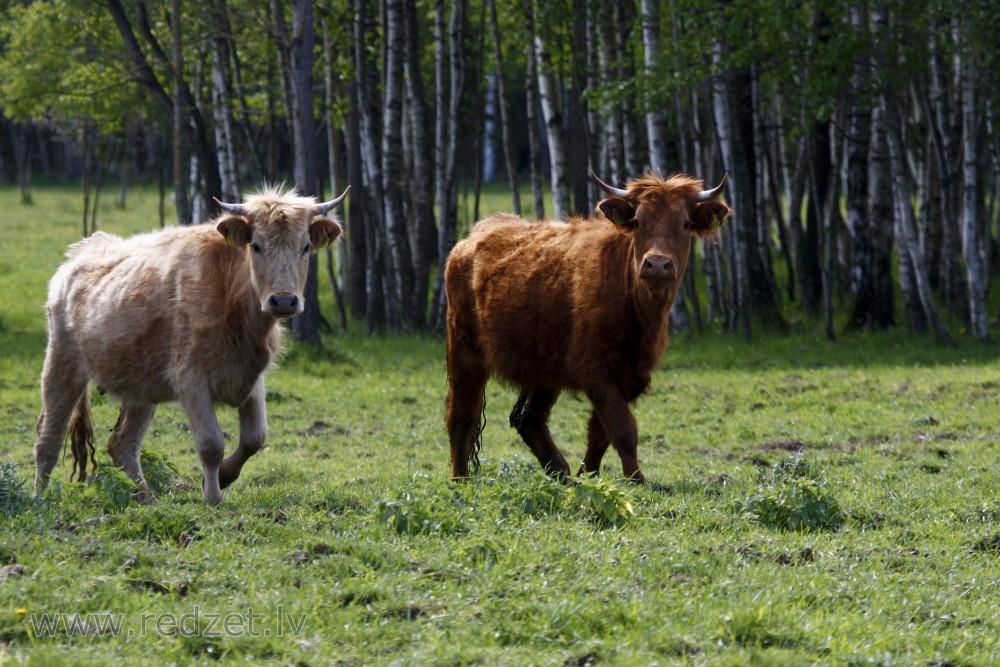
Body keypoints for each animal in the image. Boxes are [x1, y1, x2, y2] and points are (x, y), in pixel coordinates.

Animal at [35, 185, 350, 504]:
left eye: (306, 247)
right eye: (256, 245)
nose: (283, 301)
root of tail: (79, 254)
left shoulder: (253, 378)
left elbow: (255, 437)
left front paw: (224, 477)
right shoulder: (191, 379)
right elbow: (211, 443)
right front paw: (213, 497)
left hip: (141, 385)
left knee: (122, 442)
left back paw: (146, 499)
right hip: (62, 364)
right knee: (48, 438)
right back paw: (39, 499)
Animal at [444, 172, 728, 486]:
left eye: (685, 224)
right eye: (638, 221)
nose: (657, 264)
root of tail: (474, 236)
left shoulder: (629, 375)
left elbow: (600, 434)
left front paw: (589, 477)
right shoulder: (596, 372)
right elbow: (622, 429)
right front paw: (636, 481)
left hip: (545, 369)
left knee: (528, 419)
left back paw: (562, 473)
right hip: (464, 351)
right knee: (462, 416)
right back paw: (460, 480)